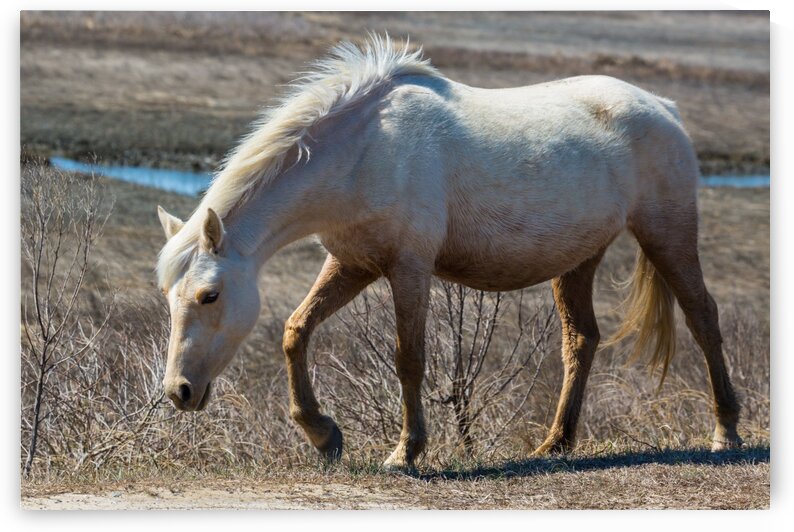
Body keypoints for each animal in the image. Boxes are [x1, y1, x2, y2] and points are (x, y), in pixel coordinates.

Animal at [156, 35, 742, 469]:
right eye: (169, 298)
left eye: (210, 295)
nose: (179, 391)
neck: (365, 148)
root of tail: (663, 108)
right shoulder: (352, 265)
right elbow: (296, 331)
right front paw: (323, 435)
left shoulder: (408, 269)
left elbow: (408, 359)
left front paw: (406, 452)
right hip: (579, 259)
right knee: (582, 340)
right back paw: (554, 445)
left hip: (667, 234)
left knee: (702, 319)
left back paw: (726, 432)